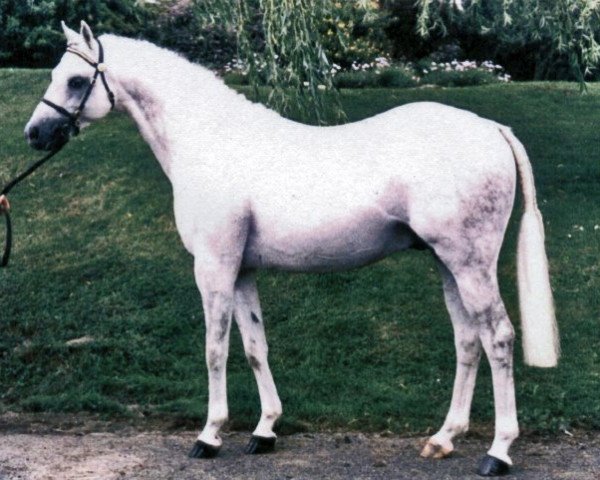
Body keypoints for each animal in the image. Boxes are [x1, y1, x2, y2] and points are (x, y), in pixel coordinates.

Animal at [23, 22, 556, 476]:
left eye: (75, 79)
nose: (35, 134)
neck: (211, 142)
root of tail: (491, 127)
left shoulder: (213, 268)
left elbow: (215, 349)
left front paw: (209, 436)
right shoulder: (241, 271)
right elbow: (255, 347)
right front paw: (264, 431)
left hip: (471, 264)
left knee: (499, 338)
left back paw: (498, 452)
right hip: (448, 264)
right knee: (468, 340)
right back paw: (443, 439)